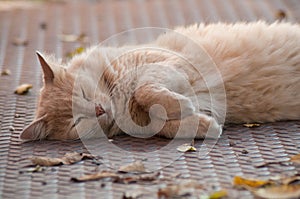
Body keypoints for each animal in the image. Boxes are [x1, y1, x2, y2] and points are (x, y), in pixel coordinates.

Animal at [20, 21, 300, 141]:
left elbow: (144, 91)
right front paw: (203, 125)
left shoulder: (169, 65)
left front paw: (183, 106)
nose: (99, 110)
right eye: (76, 121)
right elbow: (167, 126)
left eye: (84, 94)